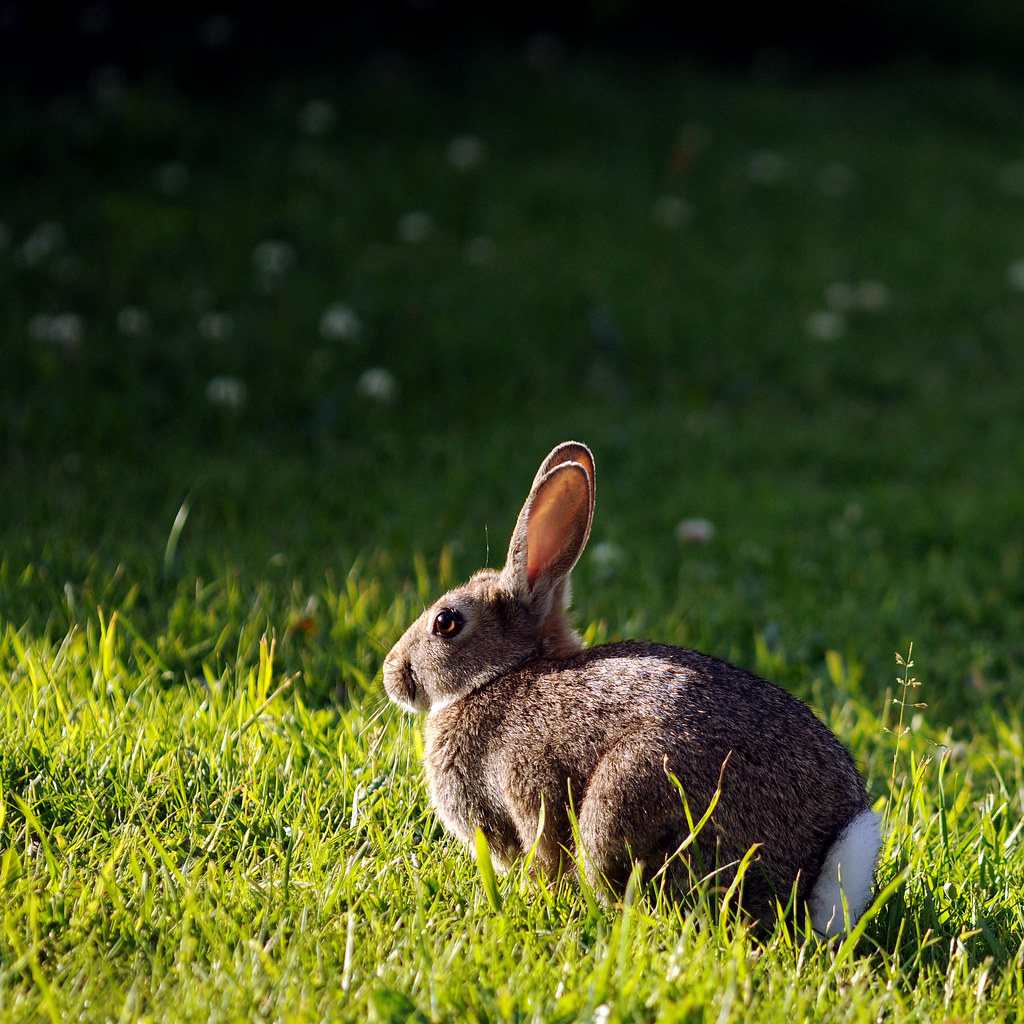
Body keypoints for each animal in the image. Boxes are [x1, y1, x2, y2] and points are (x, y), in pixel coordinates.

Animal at [383, 441, 881, 938]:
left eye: (446, 622)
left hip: (621, 799)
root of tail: (814, 877)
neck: (500, 675)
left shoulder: (526, 791)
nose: (391, 675)